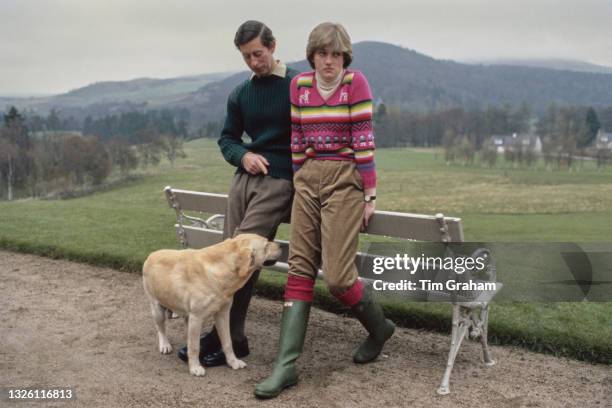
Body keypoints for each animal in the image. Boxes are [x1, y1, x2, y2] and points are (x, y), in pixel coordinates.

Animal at [142, 233, 280, 376]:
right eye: (266, 245)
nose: (281, 246)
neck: (220, 270)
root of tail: (151, 254)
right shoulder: (196, 317)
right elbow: (194, 346)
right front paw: (195, 367)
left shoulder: (222, 314)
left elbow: (227, 342)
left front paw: (233, 362)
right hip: (157, 310)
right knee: (161, 328)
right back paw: (165, 345)